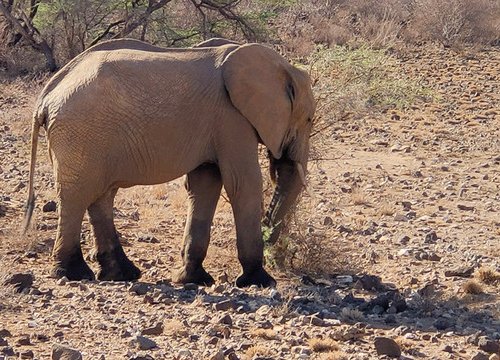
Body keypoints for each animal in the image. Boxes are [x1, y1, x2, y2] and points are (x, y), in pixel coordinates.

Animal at [25, 38, 314, 288]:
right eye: (310, 119)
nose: (275, 250)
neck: (280, 66)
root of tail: (46, 95)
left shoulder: (217, 125)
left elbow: (204, 185)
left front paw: (193, 279)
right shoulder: (232, 119)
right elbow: (243, 184)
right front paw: (260, 281)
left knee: (101, 195)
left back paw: (121, 274)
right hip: (80, 133)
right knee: (76, 195)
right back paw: (73, 274)